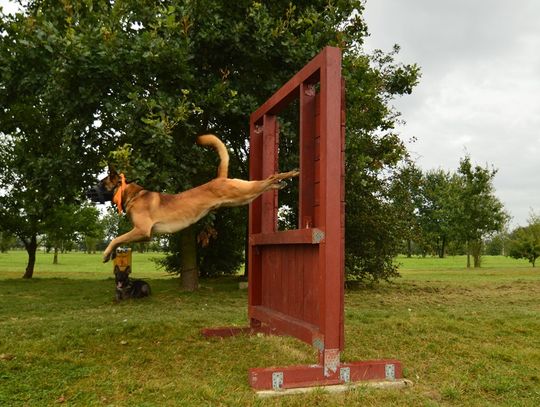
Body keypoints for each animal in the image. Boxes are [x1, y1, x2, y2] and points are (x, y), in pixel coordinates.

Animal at [89, 134, 300, 262]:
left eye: (101, 183)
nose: (87, 192)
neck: (132, 194)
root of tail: (219, 178)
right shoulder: (141, 234)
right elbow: (120, 240)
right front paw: (111, 254)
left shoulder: (142, 230)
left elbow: (116, 238)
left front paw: (106, 253)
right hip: (242, 197)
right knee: (263, 184)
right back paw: (281, 182)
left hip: (241, 192)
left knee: (268, 178)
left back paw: (288, 174)